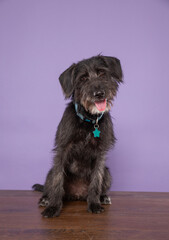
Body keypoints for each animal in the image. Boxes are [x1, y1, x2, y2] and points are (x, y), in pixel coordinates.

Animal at [32, 54, 123, 218]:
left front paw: (94, 203)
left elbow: (96, 180)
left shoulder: (100, 154)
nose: (99, 94)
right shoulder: (62, 150)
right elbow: (58, 181)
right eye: (83, 79)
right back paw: (46, 199)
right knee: (50, 185)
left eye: (102, 73)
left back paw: (102, 197)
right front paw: (53, 207)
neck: (89, 120)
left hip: (107, 174)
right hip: (50, 173)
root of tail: (77, 195)